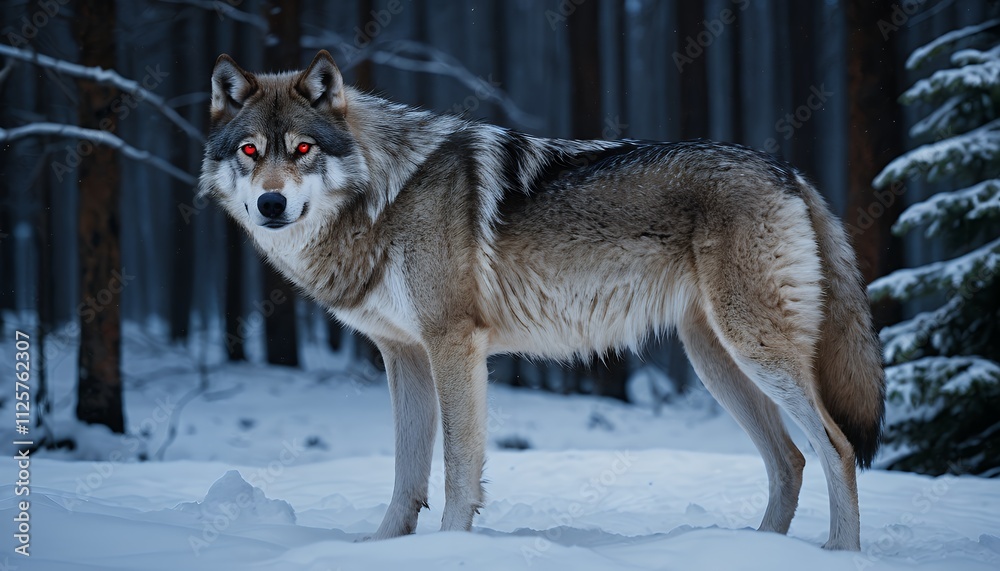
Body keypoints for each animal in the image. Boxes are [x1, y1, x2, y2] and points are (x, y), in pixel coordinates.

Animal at [199, 50, 884, 551]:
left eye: (303, 150)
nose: (271, 204)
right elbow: (405, 475)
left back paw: (839, 555)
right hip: (716, 360)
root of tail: (787, 172)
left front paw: (450, 550)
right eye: (251, 150)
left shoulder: (454, 344)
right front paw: (383, 549)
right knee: (790, 462)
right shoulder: (403, 355)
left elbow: (457, 469)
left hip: (755, 353)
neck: (385, 195)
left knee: (837, 449)